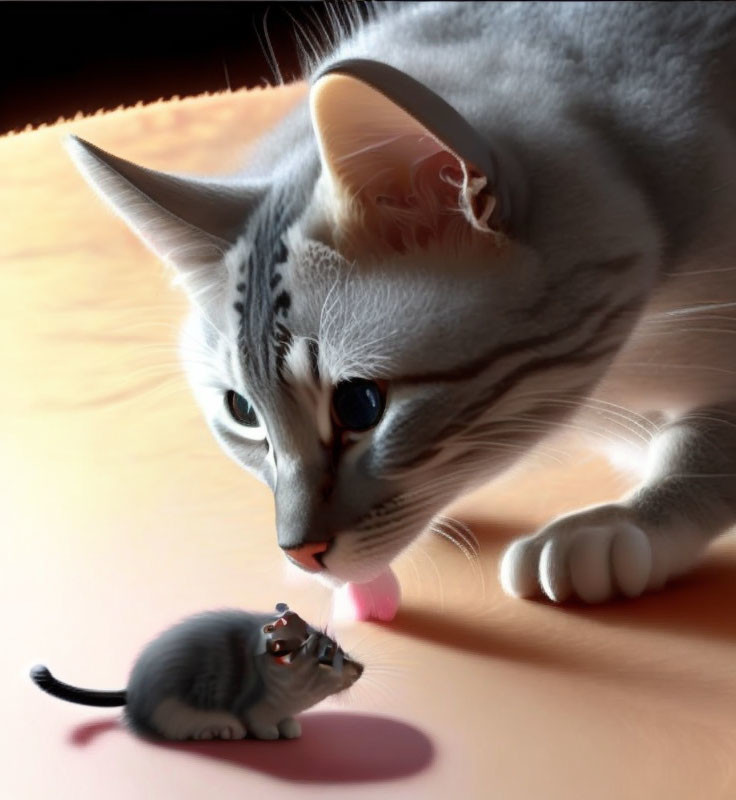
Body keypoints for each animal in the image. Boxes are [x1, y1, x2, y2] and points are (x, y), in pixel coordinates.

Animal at [30, 604, 364, 740]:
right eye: (326, 656)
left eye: (337, 648)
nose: (360, 668)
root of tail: (134, 690)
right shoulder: (255, 708)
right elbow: (261, 723)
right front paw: (271, 732)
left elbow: (287, 722)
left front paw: (290, 727)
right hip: (177, 710)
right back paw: (222, 729)